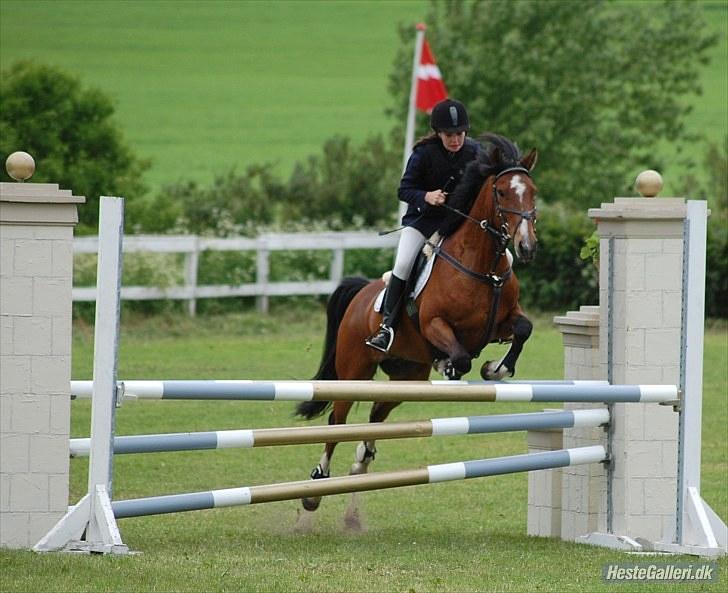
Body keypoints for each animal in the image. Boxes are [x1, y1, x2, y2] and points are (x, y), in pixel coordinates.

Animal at [292, 133, 536, 520]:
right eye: (501, 192)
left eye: (532, 192)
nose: (527, 247)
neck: (482, 264)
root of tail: (361, 294)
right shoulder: (436, 324)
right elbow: (460, 355)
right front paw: (453, 365)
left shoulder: (502, 324)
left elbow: (524, 330)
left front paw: (495, 369)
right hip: (355, 371)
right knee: (337, 421)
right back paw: (316, 485)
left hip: (408, 376)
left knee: (376, 414)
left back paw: (361, 461)